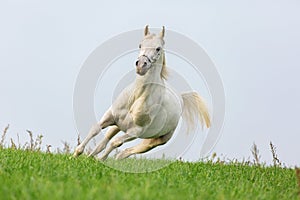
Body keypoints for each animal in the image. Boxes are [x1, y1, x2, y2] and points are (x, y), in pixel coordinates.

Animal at [73, 25, 210, 159]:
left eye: (158, 48)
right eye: (140, 45)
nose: (141, 66)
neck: (137, 97)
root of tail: (180, 97)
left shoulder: (135, 132)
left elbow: (115, 143)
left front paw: (98, 160)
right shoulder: (110, 117)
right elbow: (95, 130)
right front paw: (76, 155)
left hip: (156, 141)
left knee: (128, 150)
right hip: (118, 126)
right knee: (106, 143)